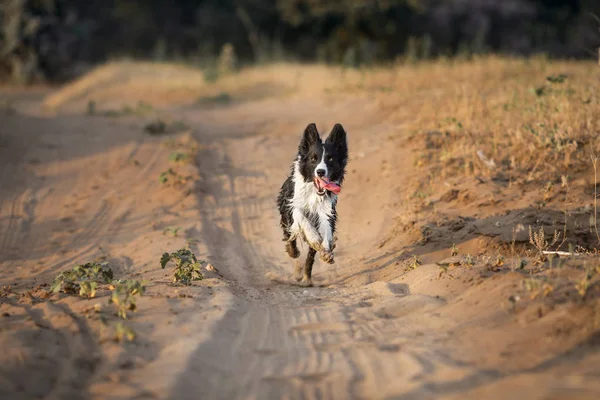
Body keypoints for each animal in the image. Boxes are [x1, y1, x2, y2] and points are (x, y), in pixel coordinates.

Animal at [276, 123, 346, 286]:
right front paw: (313, 237)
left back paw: (307, 278)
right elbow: (301, 217)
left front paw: (326, 251)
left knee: (310, 256)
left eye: (330, 159)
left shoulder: (327, 210)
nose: (320, 172)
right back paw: (293, 251)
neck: (314, 192)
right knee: (289, 235)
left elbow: (326, 229)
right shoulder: (292, 204)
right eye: (313, 159)